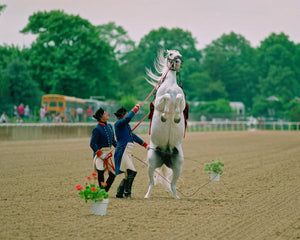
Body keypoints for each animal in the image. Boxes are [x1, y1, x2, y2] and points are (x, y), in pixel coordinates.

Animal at [144, 49, 185, 199]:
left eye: (179, 54)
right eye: (171, 54)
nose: (178, 60)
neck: (171, 86)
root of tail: (165, 154)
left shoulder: (182, 101)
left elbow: (179, 98)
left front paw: (177, 118)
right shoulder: (159, 102)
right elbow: (166, 97)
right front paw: (164, 116)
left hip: (178, 165)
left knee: (173, 185)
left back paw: (177, 197)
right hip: (151, 164)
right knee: (151, 182)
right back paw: (146, 196)